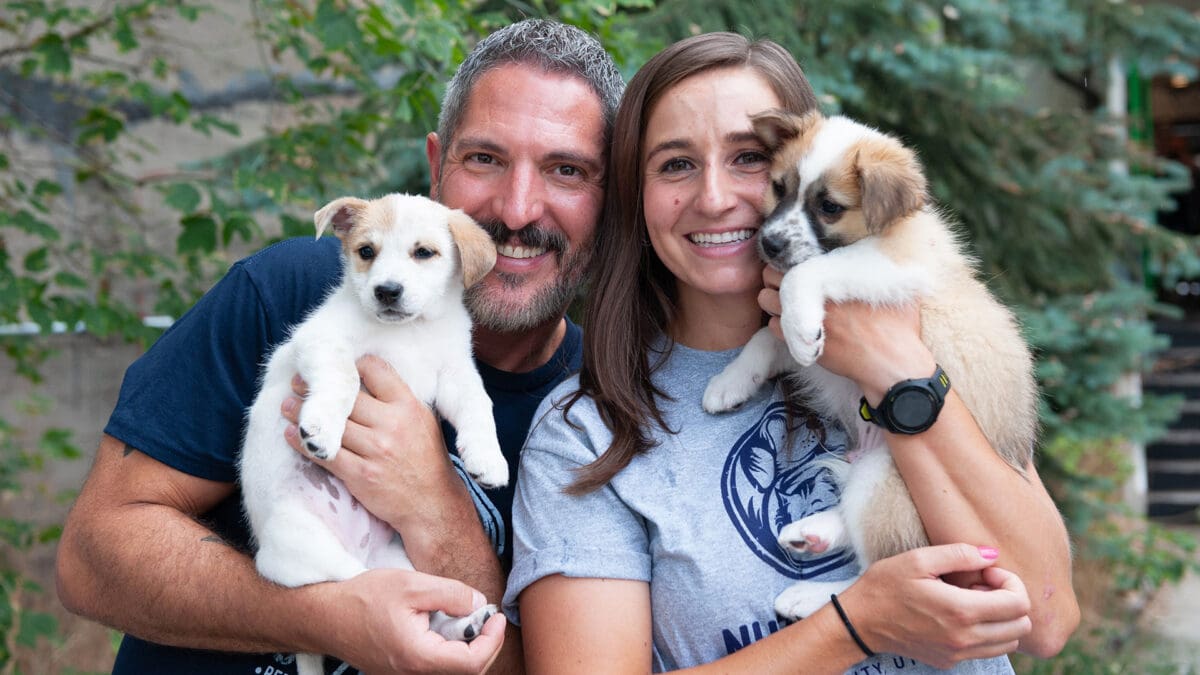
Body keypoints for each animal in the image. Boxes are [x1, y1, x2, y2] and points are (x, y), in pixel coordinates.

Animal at [238, 190, 506, 672]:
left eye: (424, 253)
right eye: (366, 252)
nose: (387, 291)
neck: (411, 333)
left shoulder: (454, 374)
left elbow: (480, 406)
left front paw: (488, 460)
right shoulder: (322, 344)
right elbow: (344, 379)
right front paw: (322, 431)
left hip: (396, 560)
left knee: (423, 605)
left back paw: (465, 625)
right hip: (302, 540)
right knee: (365, 587)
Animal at [700, 110, 1041, 619]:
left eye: (830, 207)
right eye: (778, 187)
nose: (770, 244)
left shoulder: (892, 266)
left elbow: (809, 273)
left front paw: (800, 327)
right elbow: (763, 339)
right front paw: (730, 382)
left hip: (889, 479)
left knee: (885, 572)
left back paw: (809, 594)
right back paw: (813, 533)